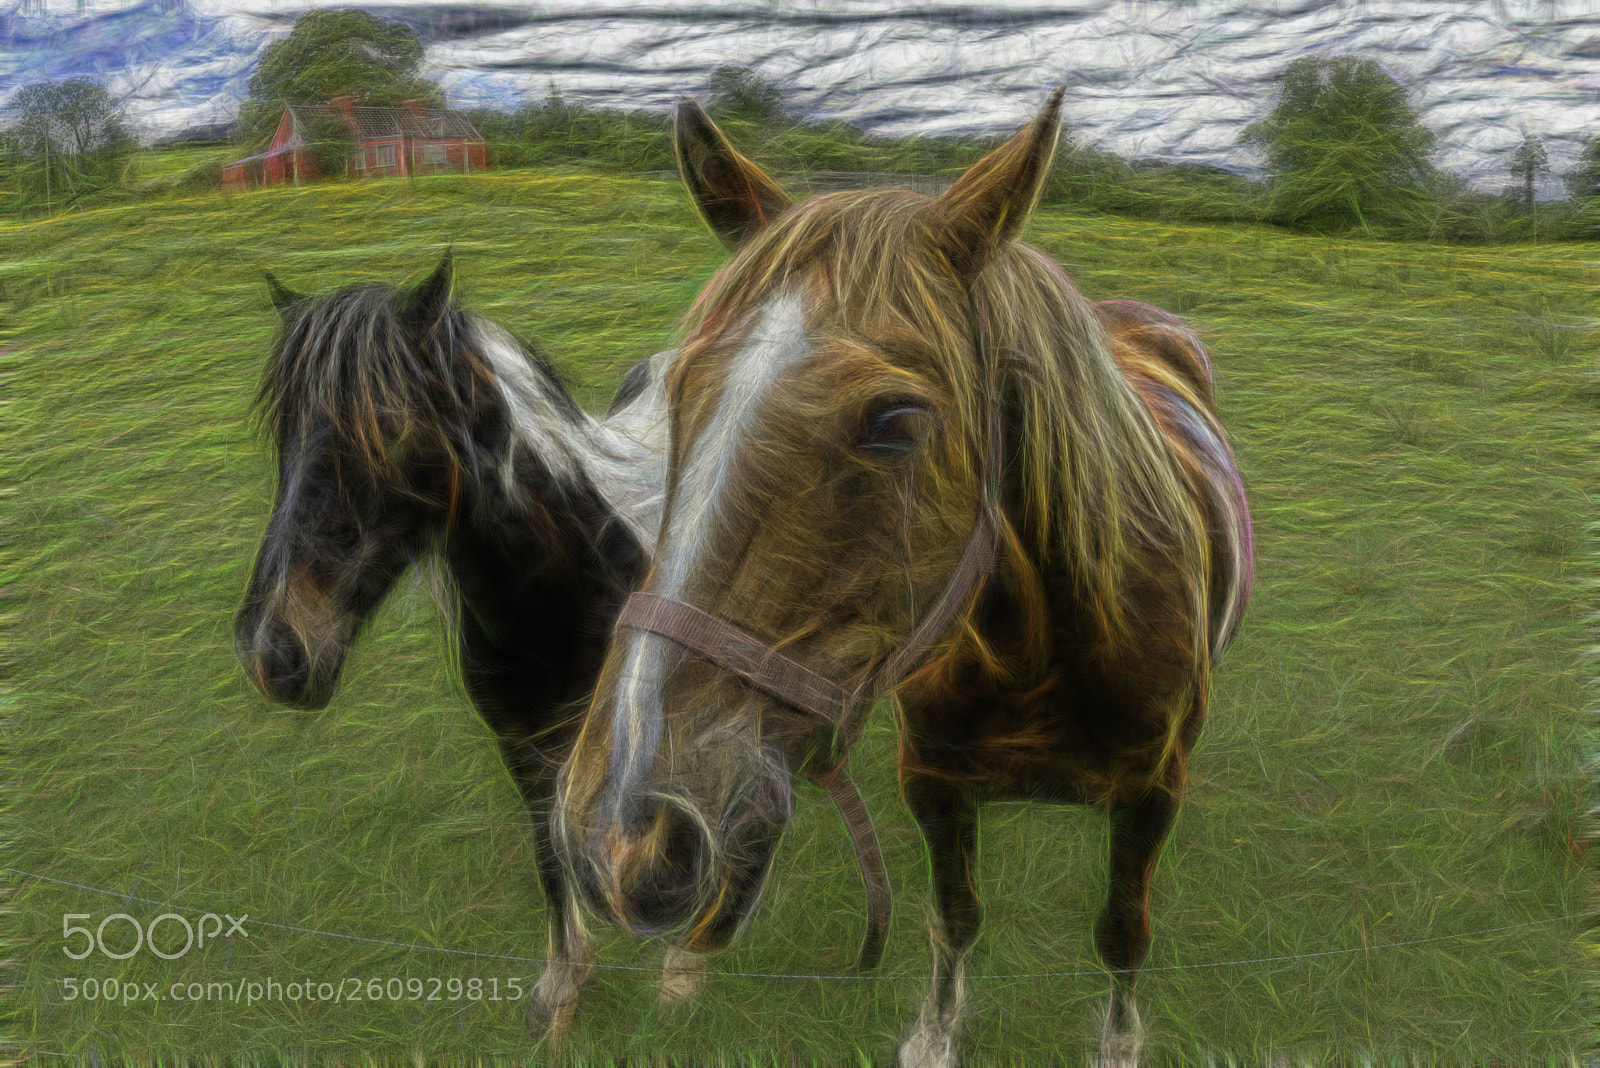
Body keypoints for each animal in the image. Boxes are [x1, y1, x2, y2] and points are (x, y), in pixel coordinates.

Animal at [233, 254, 672, 1033]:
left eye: (386, 426)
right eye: (283, 430)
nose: (270, 653)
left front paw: (678, 978)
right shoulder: (523, 744)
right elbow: (550, 851)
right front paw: (563, 985)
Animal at [551, 88, 1253, 1066]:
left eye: (895, 420)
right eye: (669, 390)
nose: (619, 833)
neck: (1045, 652)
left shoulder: (1152, 796)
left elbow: (1122, 933)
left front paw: (1118, 1043)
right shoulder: (935, 786)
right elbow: (954, 919)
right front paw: (934, 1034)